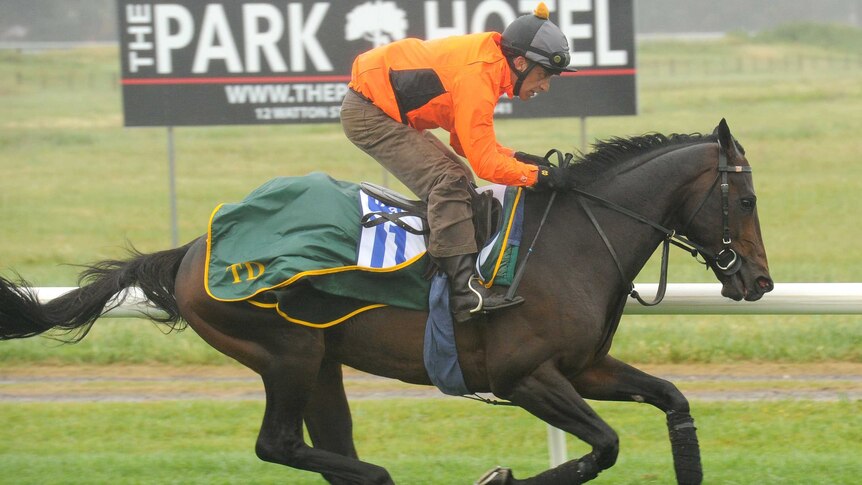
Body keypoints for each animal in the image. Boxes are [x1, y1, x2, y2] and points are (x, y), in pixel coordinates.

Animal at [0, 118, 776, 484]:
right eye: (745, 199)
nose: (761, 281)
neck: (574, 242)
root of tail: (191, 249)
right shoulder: (526, 377)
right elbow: (604, 446)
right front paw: (499, 475)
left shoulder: (584, 368)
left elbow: (672, 400)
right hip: (287, 350)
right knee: (279, 444)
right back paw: (378, 474)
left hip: (321, 362)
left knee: (318, 446)